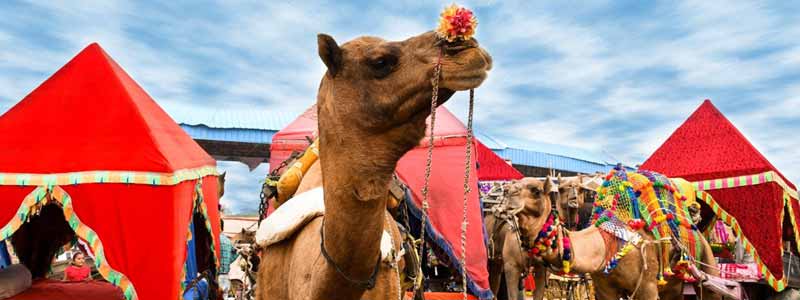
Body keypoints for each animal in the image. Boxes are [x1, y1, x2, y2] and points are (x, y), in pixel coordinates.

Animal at [506, 170, 724, 298]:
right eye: (561, 189)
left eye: (535, 190)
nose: (507, 195)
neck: (606, 244)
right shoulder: (604, 288)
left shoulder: (647, 287)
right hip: (673, 283)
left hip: (707, 265)